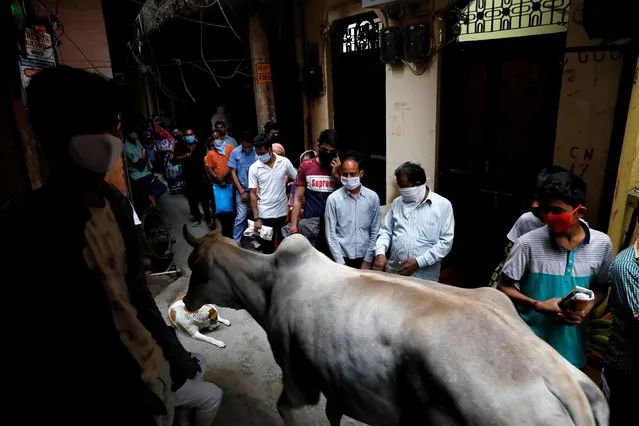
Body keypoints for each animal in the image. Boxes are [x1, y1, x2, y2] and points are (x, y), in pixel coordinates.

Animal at [182, 225, 608, 424]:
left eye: (197, 269)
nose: (185, 302)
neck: (269, 284)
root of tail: (564, 381)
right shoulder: (337, 384)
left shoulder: (297, 378)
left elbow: (286, 408)